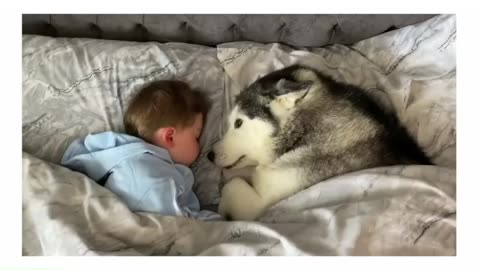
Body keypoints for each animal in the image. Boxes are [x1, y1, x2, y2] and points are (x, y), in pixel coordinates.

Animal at [207, 64, 432, 220]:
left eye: (238, 123)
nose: (209, 155)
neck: (303, 134)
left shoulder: (261, 204)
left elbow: (233, 184)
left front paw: (222, 209)